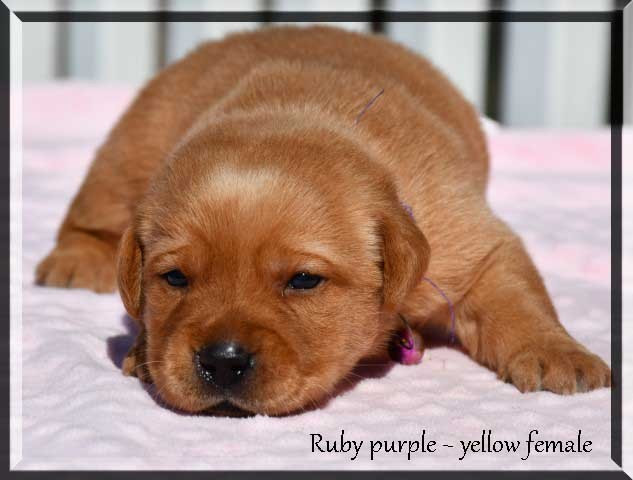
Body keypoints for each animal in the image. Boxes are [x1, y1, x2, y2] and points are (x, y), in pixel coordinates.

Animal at [36, 26, 611, 416]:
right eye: (174, 278)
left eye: (304, 281)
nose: (222, 361)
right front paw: (141, 348)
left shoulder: (468, 241)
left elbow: (517, 295)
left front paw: (558, 353)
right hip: (132, 143)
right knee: (94, 209)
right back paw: (74, 260)